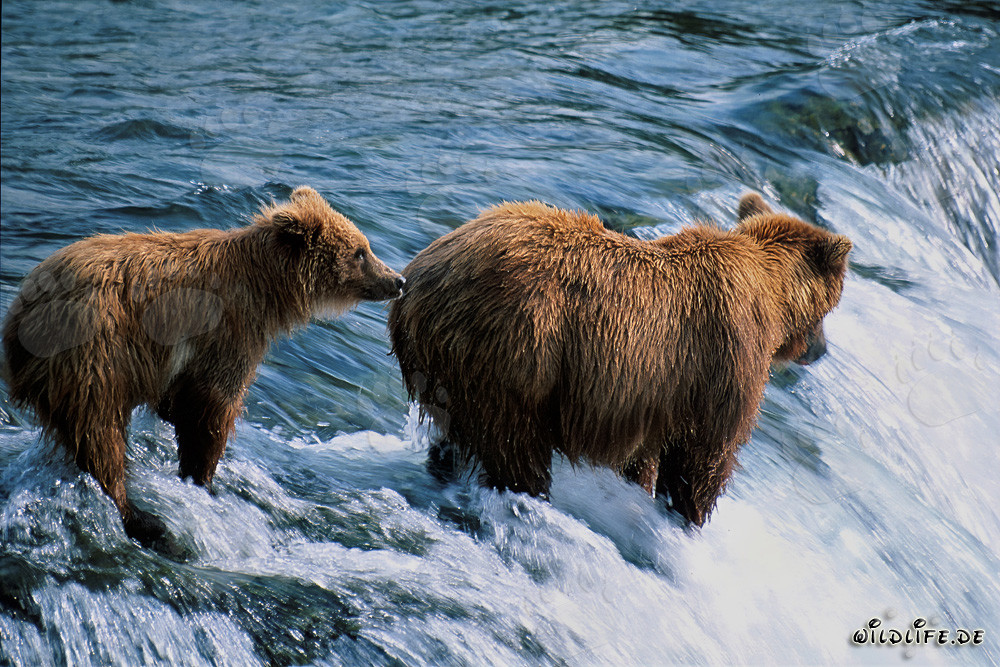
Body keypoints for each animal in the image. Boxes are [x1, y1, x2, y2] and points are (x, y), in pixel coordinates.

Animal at [2, 186, 404, 545]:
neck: (267, 288)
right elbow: (213, 405)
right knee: (101, 431)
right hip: (93, 351)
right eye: (360, 252)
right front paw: (202, 477)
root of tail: (20, 312)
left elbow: (182, 400)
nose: (397, 279)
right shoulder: (229, 331)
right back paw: (140, 517)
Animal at [388, 193, 851, 526]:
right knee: (515, 447)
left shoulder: (651, 396)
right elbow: (707, 454)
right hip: (514, 351)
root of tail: (415, 281)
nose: (822, 350)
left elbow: (643, 456)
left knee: (457, 437)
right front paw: (687, 515)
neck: (771, 298)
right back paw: (528, 498)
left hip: (450, 369)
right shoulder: (726, 356)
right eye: (831, 308)